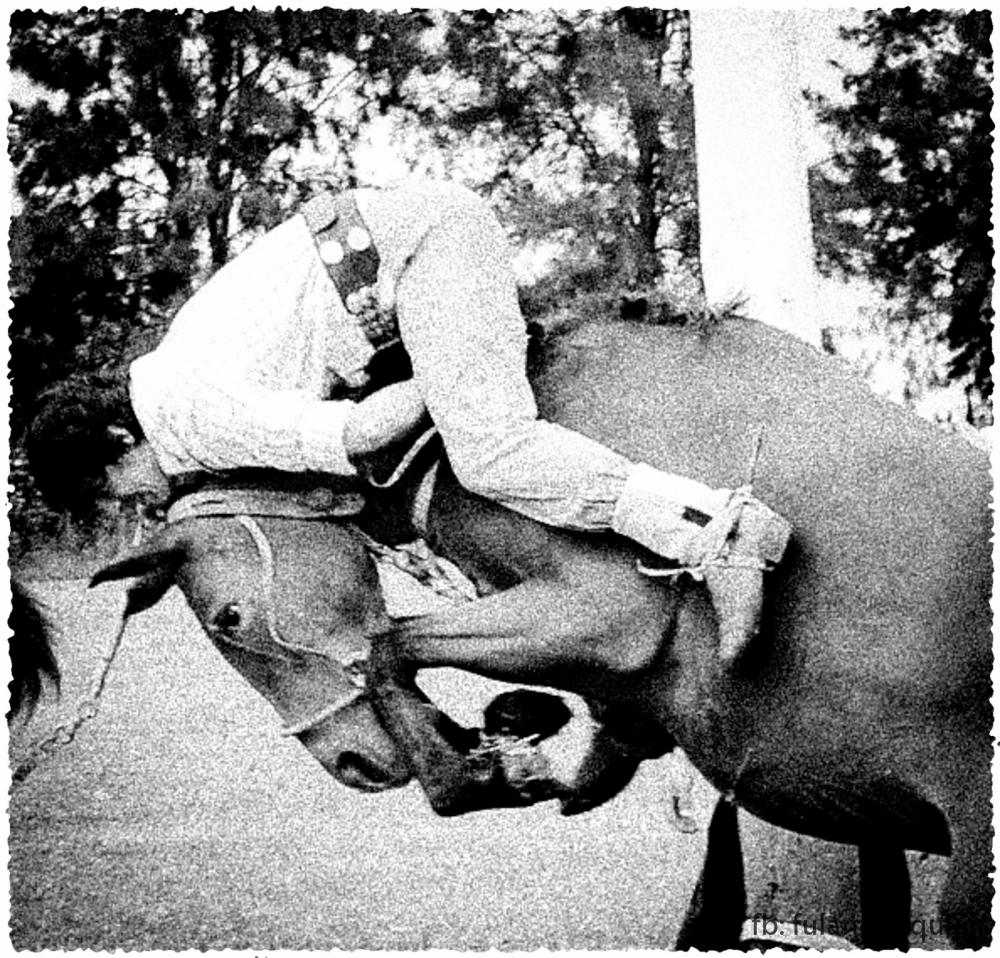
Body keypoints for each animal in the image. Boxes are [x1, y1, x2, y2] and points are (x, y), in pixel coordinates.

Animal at [86, 316, 992, 952]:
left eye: (229, 620)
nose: (352, 763)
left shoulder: (599, 617)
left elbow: (388, 649)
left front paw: (464, 768)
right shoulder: (626, 704)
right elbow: (587, 760)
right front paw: (510, 736)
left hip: (970, 877)